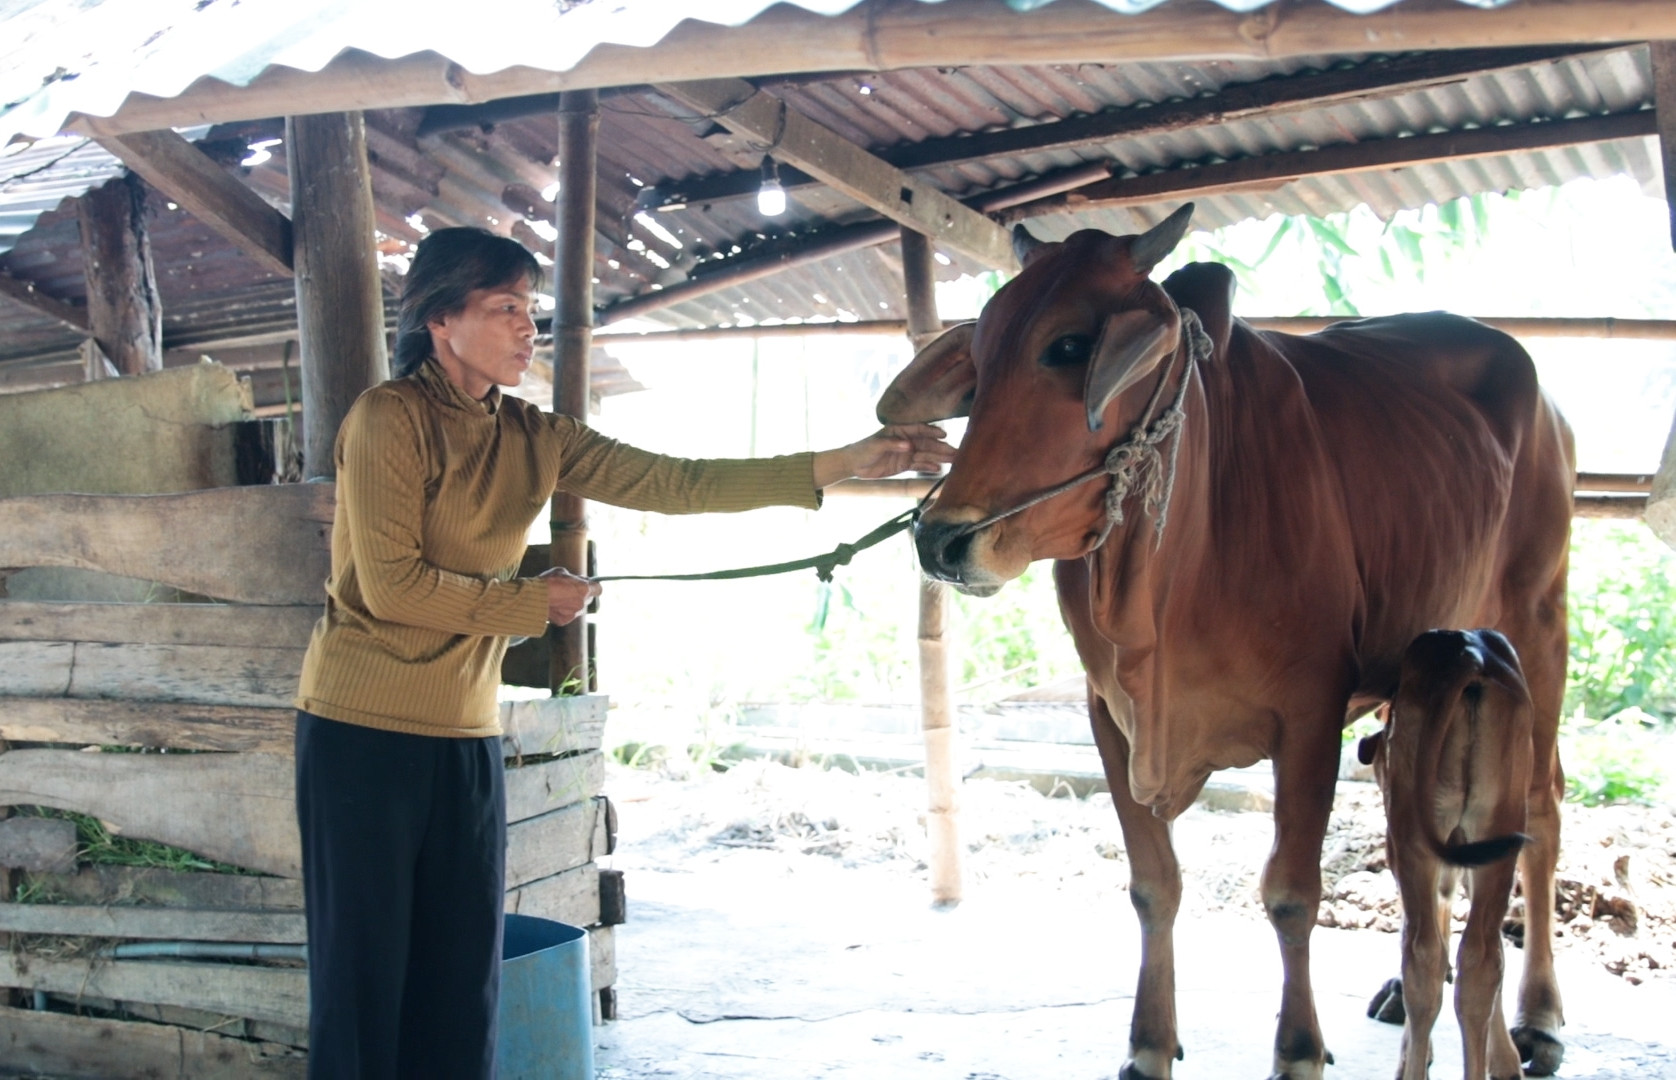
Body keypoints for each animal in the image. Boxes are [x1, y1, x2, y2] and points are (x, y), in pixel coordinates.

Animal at [1354, 623, 1535, 1080]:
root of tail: (1469, 653)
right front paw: (1505, 1060)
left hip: (1413, 838)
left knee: (1423, 958)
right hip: (1500, 825)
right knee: (1482, 961)